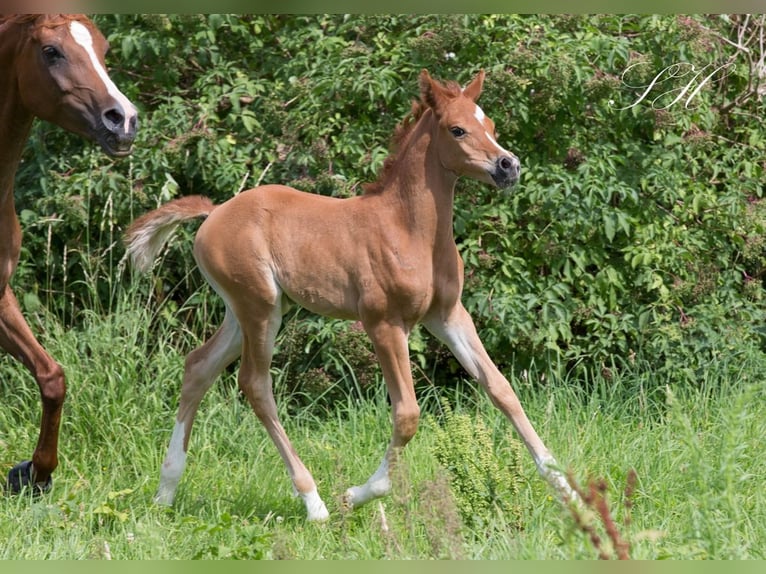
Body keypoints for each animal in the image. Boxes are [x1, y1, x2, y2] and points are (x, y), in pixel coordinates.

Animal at [126, 68, 572, 520]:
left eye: (491, 126)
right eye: (457, 129)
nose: (508, 166)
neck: (408, 228)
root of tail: (214, 213)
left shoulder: (447, 316)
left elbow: (502, 390)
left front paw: (565, 488)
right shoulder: (383, 323)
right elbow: (407, 414)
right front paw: (357, 494)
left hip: (246, 310)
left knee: (199, 366)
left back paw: (166, 491)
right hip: (260, 308)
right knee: (255, 384)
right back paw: (315, 503)